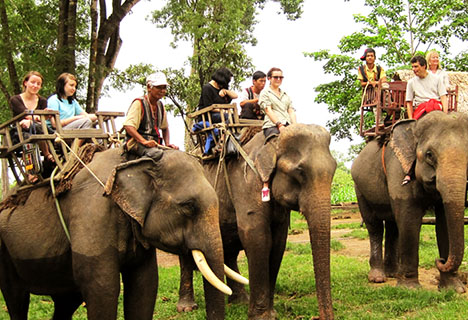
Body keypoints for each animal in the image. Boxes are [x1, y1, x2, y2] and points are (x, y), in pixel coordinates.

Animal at [0, 148, 241, 320]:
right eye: (188, 206)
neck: (132, 161)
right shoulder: (92, 213)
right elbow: (103, 287)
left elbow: (144, 285)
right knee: (16, 298)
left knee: (66, 302)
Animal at [177, 124, 334, 320]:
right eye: (300, 171)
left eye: (334, 169)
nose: (318, 317)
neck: (272, 140)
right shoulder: (247, 185)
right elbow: (258, 239)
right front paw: (261, 317)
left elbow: (278, 243)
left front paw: (271, 313)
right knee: (185, 255)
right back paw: (187, 307)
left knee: (228, 249)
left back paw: (240, 301)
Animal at [352, 111, 466, 294]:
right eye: (429, 154)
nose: (439, 260)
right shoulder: (398, 168)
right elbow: (409, 218)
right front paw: (410, 289)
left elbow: (443, 222)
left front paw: (454, 289)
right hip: (359, 188)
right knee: (374, 226)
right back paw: (378, 277)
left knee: (393, 226)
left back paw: (392, 273)